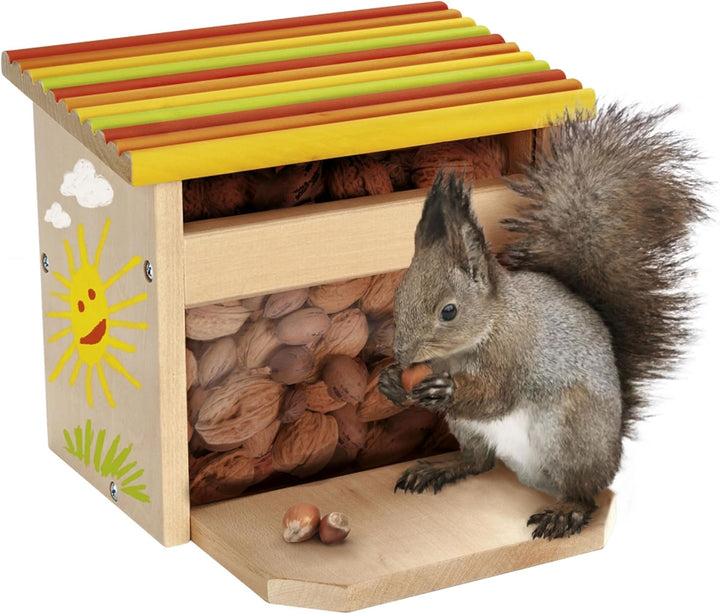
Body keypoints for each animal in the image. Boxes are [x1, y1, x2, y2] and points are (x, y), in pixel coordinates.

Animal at [378, 103, 708, 539]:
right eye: (397, 296)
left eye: (449, 311)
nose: (402, 355)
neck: (483, 331)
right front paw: (390, 382)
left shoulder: (514, 351)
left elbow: (497, 396)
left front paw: (443, 389)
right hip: (471, 430)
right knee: (479, 462)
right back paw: (442, 468)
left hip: (570, 432)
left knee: (584, 494)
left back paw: (565, 513)